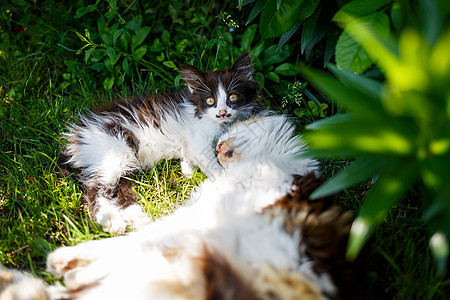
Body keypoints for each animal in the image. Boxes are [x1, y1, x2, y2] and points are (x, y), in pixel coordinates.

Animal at [43, 114, 362, 298]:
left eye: (224, 137)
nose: (218, 149)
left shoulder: (203, 219)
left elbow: (135, 243)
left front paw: (69, 263)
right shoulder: (198, 215)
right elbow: (134, 242)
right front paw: (72, 264)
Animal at [58, 52, 258, 236]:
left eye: (232, 97)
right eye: (210, 101)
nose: (223, 113)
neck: (201, 112)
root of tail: (77, 135)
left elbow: (188, 157)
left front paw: (188, 170)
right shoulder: (198, 140)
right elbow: (212, 165)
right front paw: (229, 183)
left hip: (125, 161)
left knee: (121, 191)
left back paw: (139, 220)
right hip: (114, 149)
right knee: (96, 190)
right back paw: (112, 222)